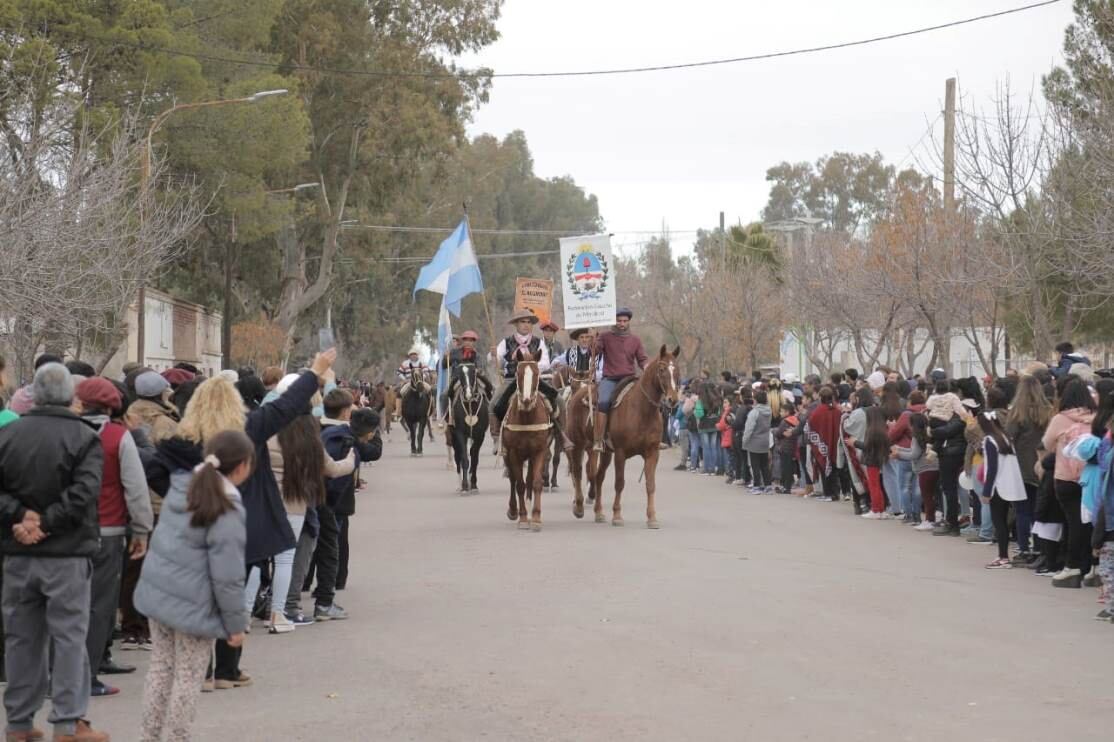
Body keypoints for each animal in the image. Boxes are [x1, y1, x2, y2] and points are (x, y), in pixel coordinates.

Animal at [597, 345, 681, 525]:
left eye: (677, 370)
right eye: (662, 369)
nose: (673, 400)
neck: (642, 411)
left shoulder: (652, 453)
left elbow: (650, 484)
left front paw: (652, 517)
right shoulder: (620, 453)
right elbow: (619, 483)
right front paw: (617, 515)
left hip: (607, 453)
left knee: (598, 477)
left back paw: (598, 512)